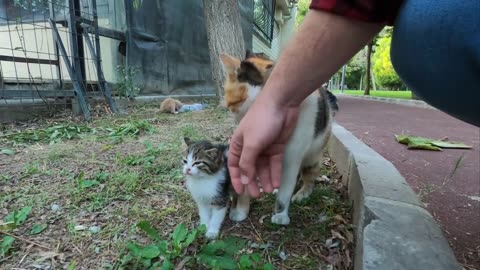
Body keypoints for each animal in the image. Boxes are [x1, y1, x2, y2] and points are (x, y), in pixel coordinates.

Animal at [219, 49, 340, 225]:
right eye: (231, 106)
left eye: (237, 102)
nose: (239, 124)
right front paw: (241, 210)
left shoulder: (292, 156)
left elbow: (286, 191)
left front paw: (281, 215)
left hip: (312, 156)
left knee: (310, 175)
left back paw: (302, 193)